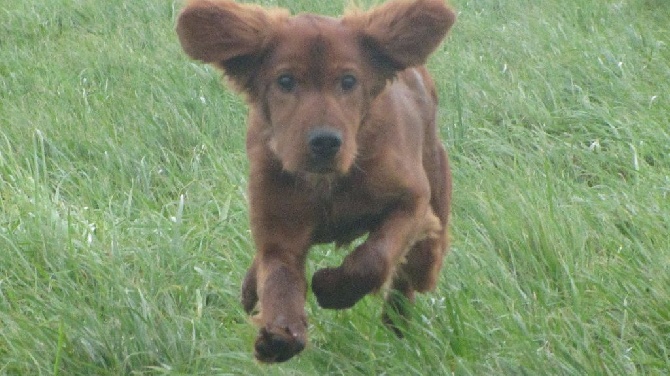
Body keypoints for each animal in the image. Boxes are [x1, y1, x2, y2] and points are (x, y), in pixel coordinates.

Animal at [177, 0, 456, 362]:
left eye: (348, 81)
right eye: (285, 81)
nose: (325, 142)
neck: (326, 183)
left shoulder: (412, 199)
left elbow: (375, 257)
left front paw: (332, 289)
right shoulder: (279, 231)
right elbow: (279, 279)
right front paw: (280, 336)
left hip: (436, 174)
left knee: (420, 257)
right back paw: (251, 287)